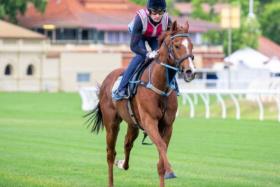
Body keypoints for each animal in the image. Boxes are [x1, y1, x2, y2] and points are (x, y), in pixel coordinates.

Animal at [86, 20, 196, 187]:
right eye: (177, 45)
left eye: (191, 45)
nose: (191, 71)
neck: (160, 85)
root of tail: (106, 81)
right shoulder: (150, 122)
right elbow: (161, 146)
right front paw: (170, 171)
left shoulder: (167, 125)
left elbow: (161, 158)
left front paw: (166, 171)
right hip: (111, 123)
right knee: (110, 154)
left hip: (133, 123)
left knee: (127, 143)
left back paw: (122, 163)